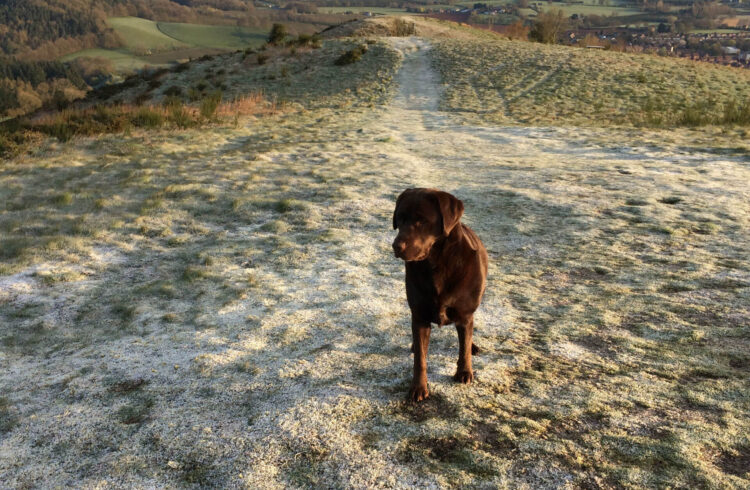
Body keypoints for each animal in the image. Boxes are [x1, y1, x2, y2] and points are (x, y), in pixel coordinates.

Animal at [390, 188, 490, 402]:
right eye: (400, 218)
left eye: (422, 220)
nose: (396, 246)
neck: (436, 266)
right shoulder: (419, 316)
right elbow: (420, 358)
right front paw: (418, 387)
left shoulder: (464, 315)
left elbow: (463, 348)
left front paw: (464, 372)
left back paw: (473, 347)